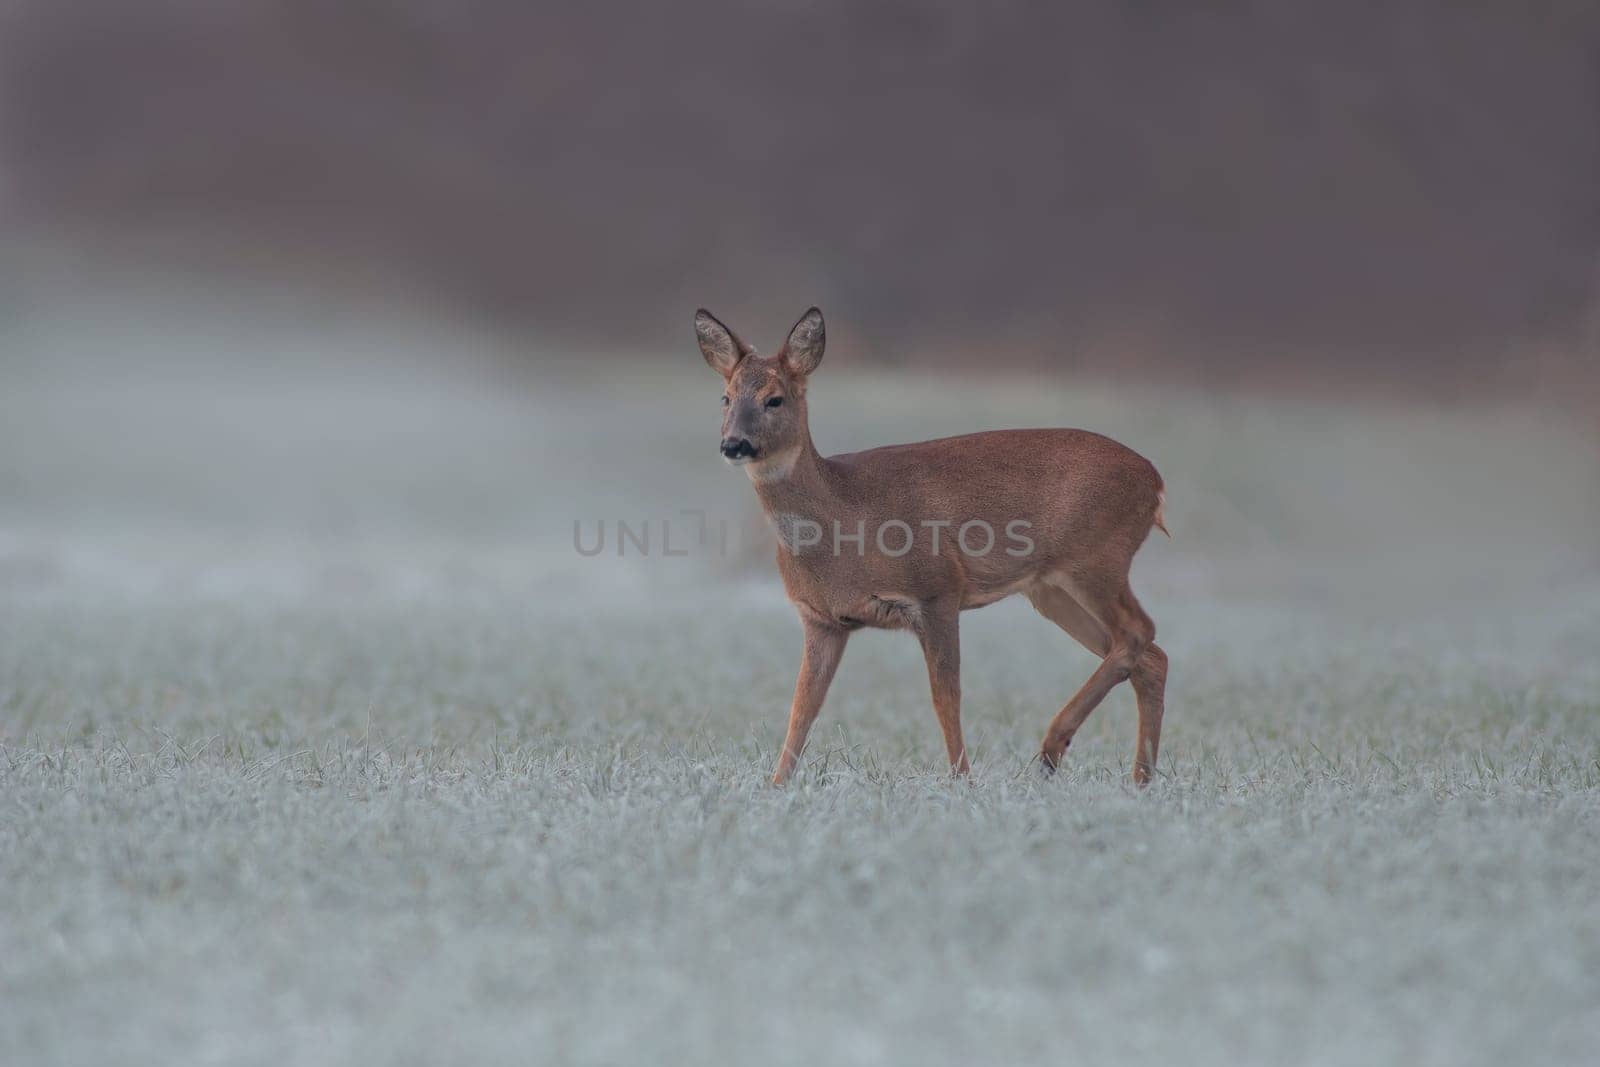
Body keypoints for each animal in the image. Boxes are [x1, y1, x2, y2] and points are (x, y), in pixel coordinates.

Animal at [694, 307, 1171, 783]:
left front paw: (963, 780)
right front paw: (777, 785)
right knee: (1150, 657)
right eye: (726, 397)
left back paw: (1054, 748)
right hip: (1050, 589)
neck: (842, 518)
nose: (733, 443)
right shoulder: (822, 619)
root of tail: (1155, 482)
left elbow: (946, 698)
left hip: (1096, 559)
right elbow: (801, 708)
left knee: (1140, 631)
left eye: (775, 399)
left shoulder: (937, 589)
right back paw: (1137, 779)